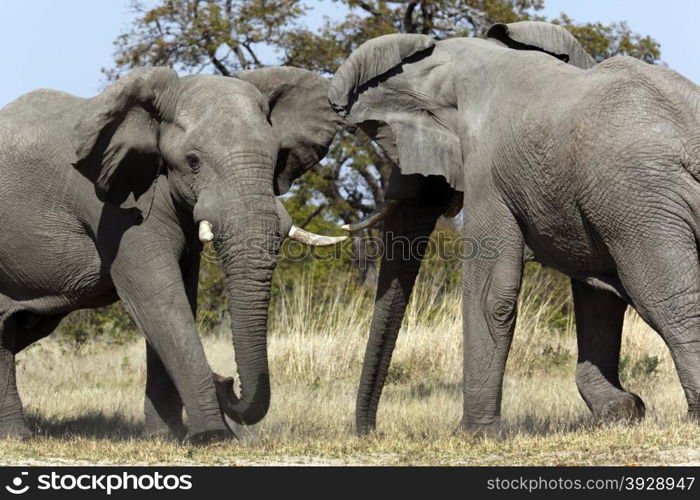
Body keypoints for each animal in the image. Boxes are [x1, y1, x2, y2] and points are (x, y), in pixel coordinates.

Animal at [0, 63, 344, 442]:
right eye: (192, 161)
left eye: (275, 157)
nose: (226, 380)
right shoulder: (112, 207)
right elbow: (160, 301)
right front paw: (212, 438)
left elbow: (181, 298)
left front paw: (165, 437)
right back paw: (17, 436)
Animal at [330, 20, 700, 434]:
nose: (369, 433)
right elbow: (597, 294)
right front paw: (622, 410)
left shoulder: (487, 172)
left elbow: (492, 294)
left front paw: (475, 434)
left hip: (639, 197)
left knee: (666, 298)